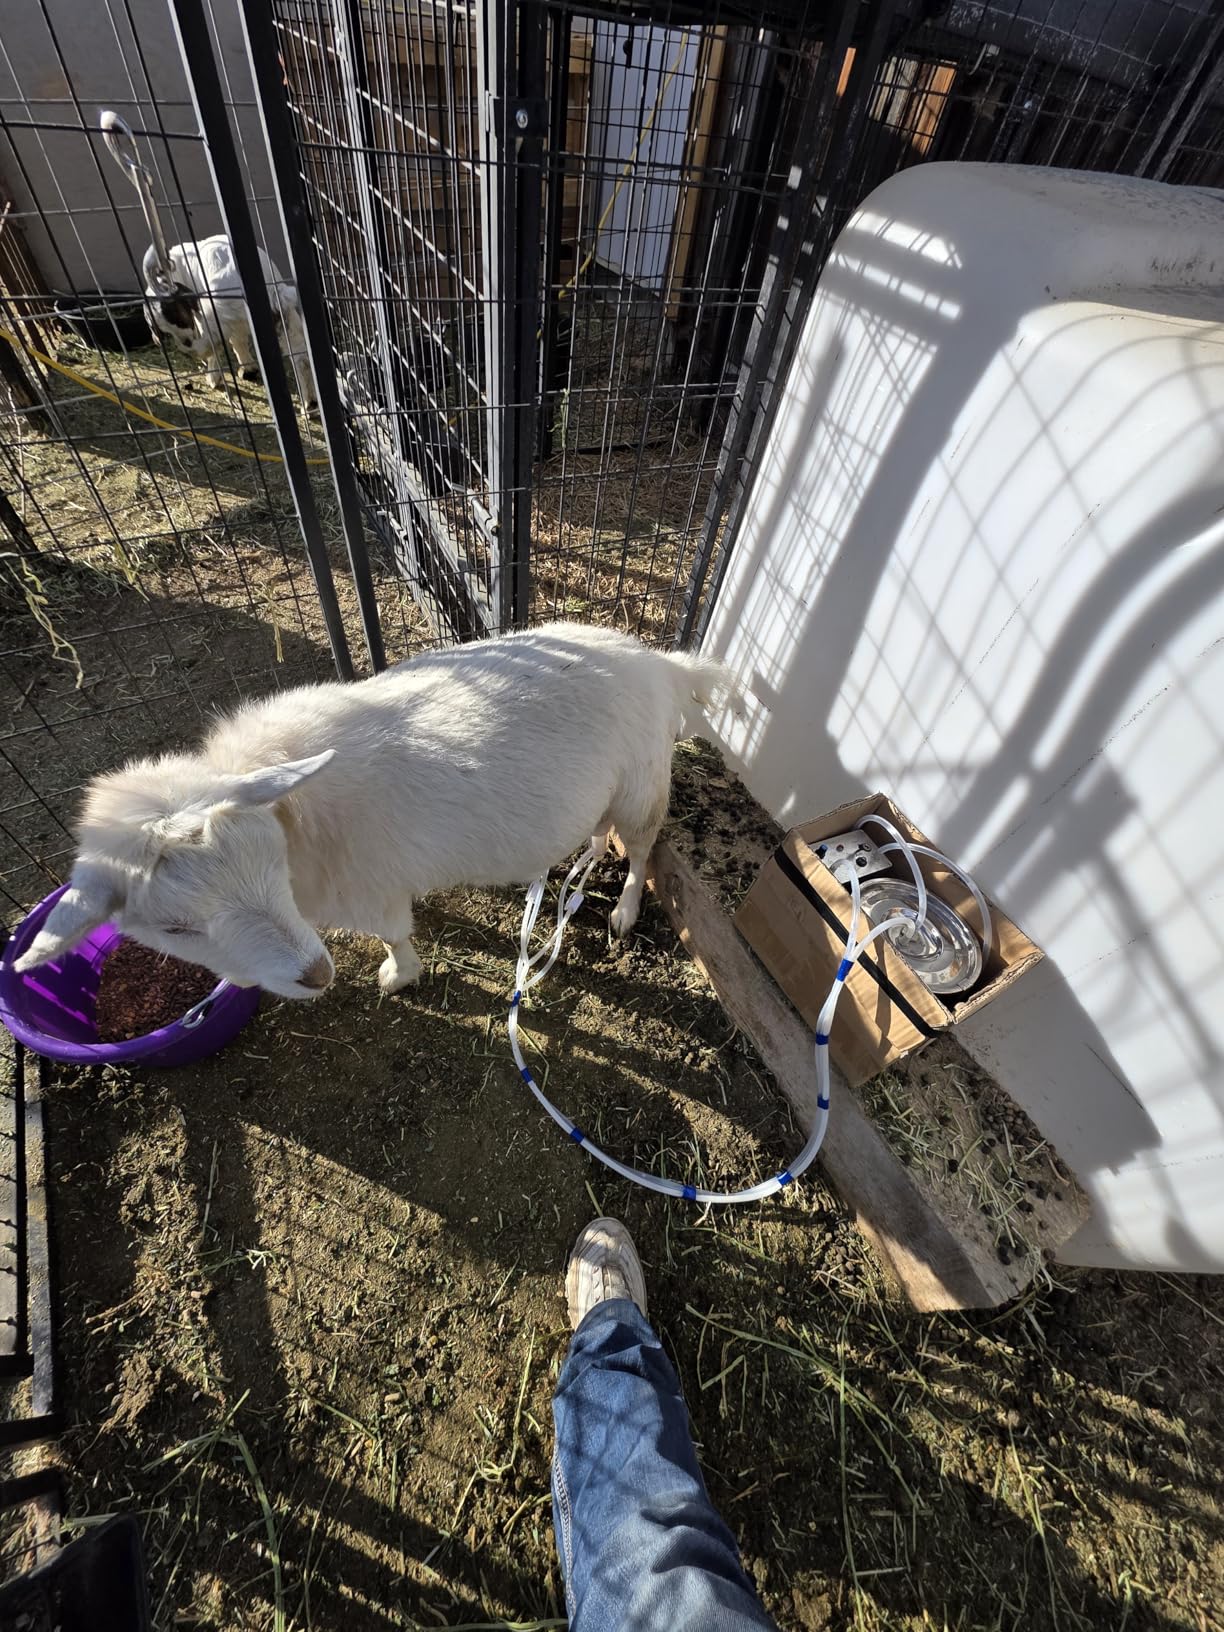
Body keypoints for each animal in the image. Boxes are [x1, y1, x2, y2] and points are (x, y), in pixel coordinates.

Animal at [14, 625, 732, 1001]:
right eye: (174, 928)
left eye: (270, 859)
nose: (317, 975)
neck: (298, 818)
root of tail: (660, 661)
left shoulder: (369, 891)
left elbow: (393, 934)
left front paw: (395, 975)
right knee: (606, 830)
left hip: (642, 783)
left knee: (643, 848)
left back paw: (624, 912)